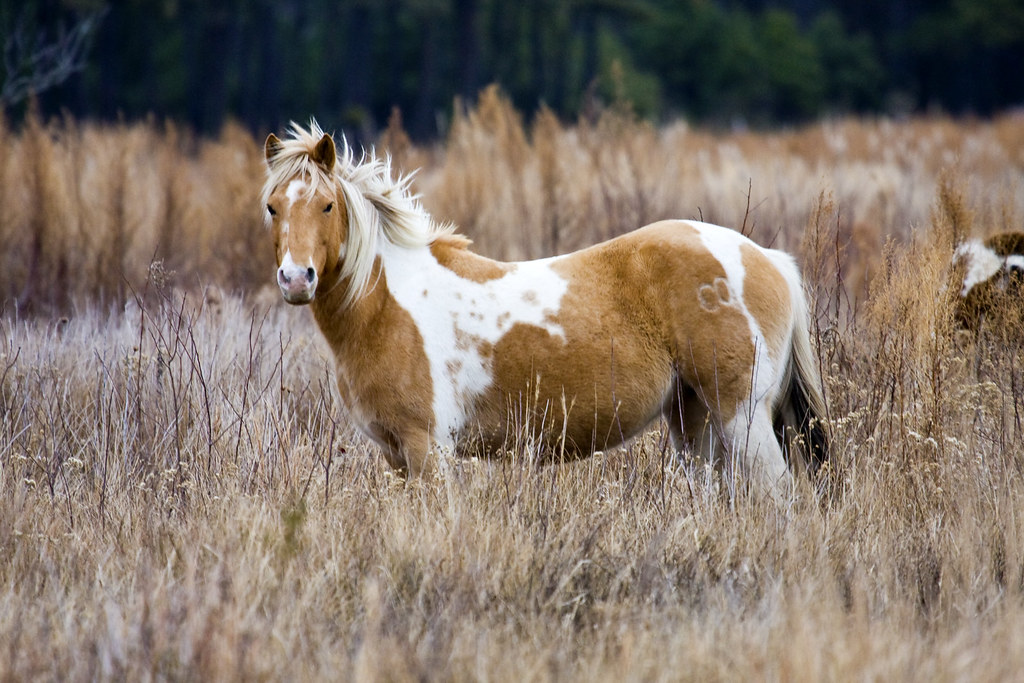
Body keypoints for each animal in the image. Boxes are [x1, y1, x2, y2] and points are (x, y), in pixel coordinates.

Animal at [261, 121, 829, 499]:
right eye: (272, 208)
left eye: (327, 205)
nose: (296, 279)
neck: (388, 303)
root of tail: (769, 259)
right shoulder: (395, 454)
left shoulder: (427, 449)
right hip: (695, 422)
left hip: (742, 418)